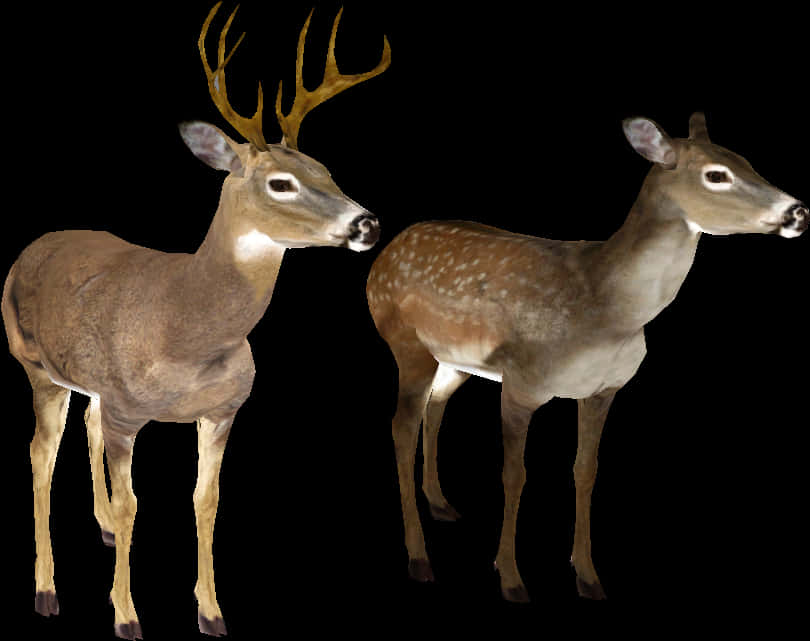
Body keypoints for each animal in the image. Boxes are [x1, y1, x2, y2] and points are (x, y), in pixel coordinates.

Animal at [2, 3, 389, 638]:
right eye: (281, 182)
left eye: (327, 169)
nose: (367, 224)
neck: (185, 329)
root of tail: (33, 247)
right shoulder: (128, 412)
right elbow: (135, 505)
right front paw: (126, 615)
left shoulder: (224, 410)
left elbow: (205, 502)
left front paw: (211, 611)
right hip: (35, 366)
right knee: (40, 453)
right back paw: (45, 588)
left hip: (89, 384)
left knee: (86, 422)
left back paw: (99, 529)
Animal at [366, 112, 807, 602]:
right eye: (716, 174)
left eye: (747, 160)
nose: (798, 212)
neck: (606, 310)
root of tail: (385, 254)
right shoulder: (522, 383)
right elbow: (515, 474)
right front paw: (511, 578)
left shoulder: (603, 388)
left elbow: (585, 470)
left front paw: (588, 576)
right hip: (407, 343)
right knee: (401, 427)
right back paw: (419, 557)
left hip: (456, 360)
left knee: (436, 405)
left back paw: (441, 503)